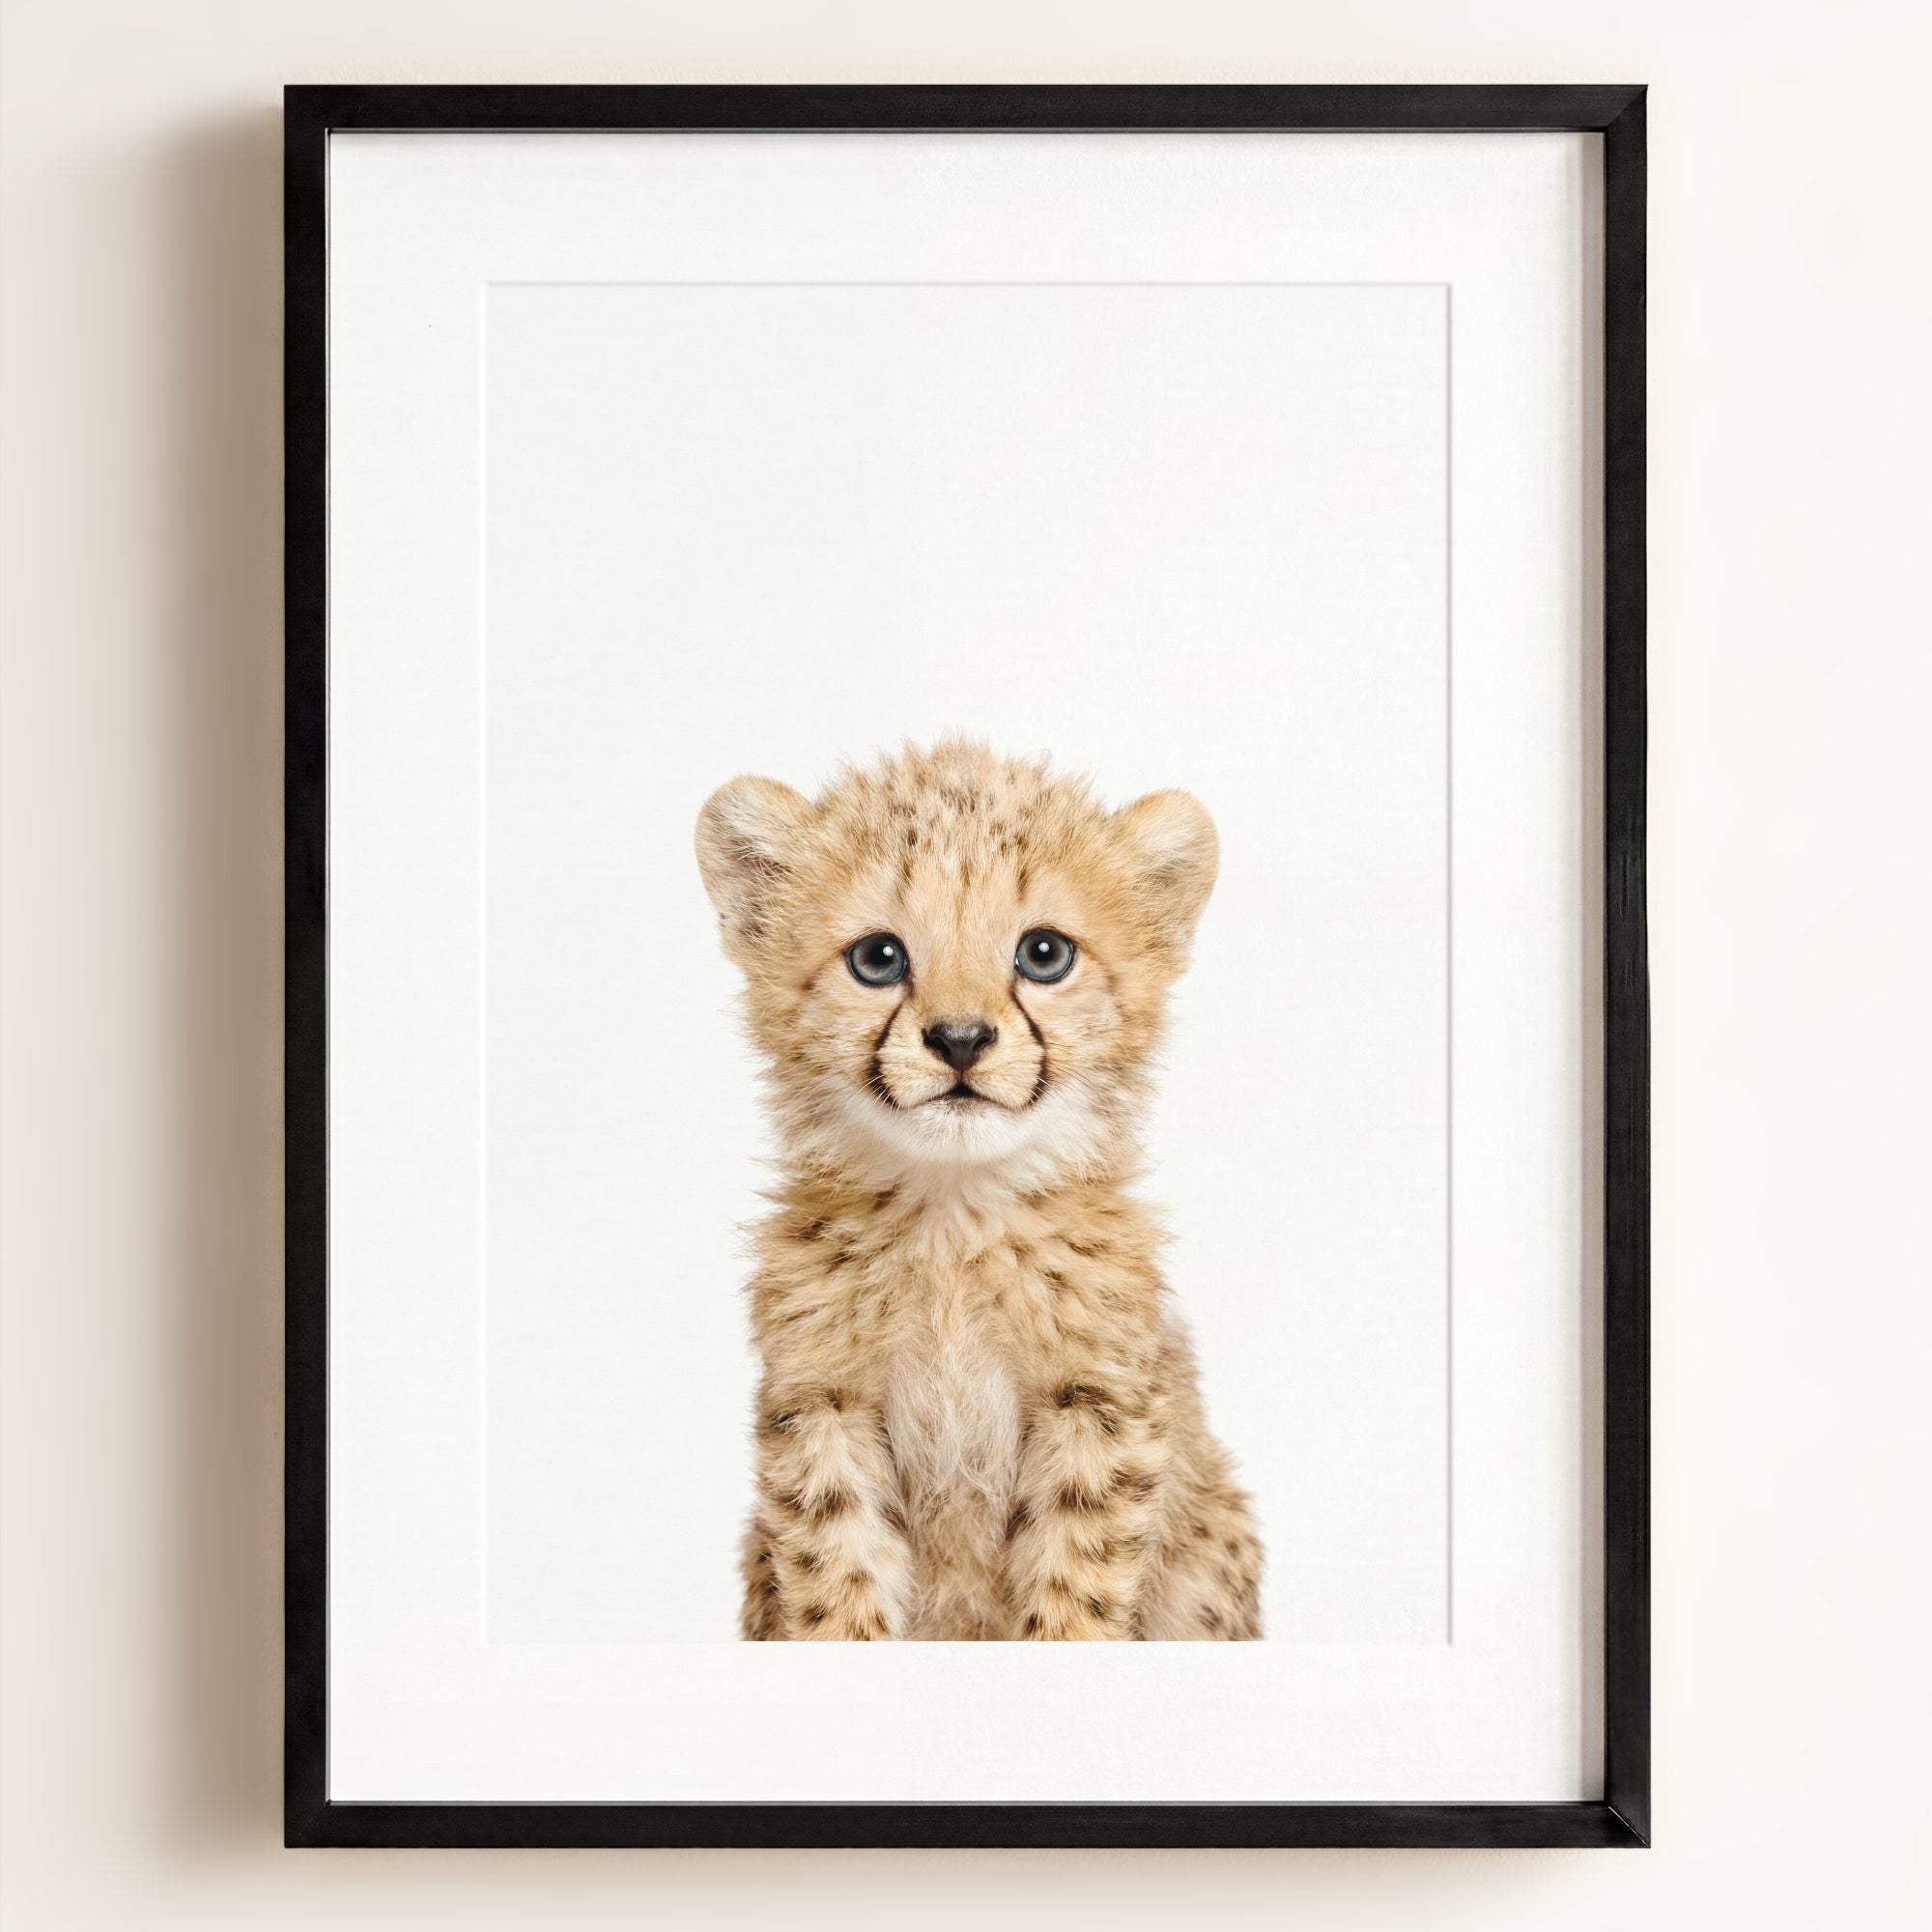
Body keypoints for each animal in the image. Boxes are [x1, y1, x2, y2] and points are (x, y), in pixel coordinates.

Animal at [696, 739, 1262, 1639]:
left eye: (1044, 954)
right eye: (878, 958)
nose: (960, 1040)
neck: (953, 1218)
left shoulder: (1097, 1406)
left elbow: (1075, 1585)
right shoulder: (823, 1406)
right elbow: (835, 1580)